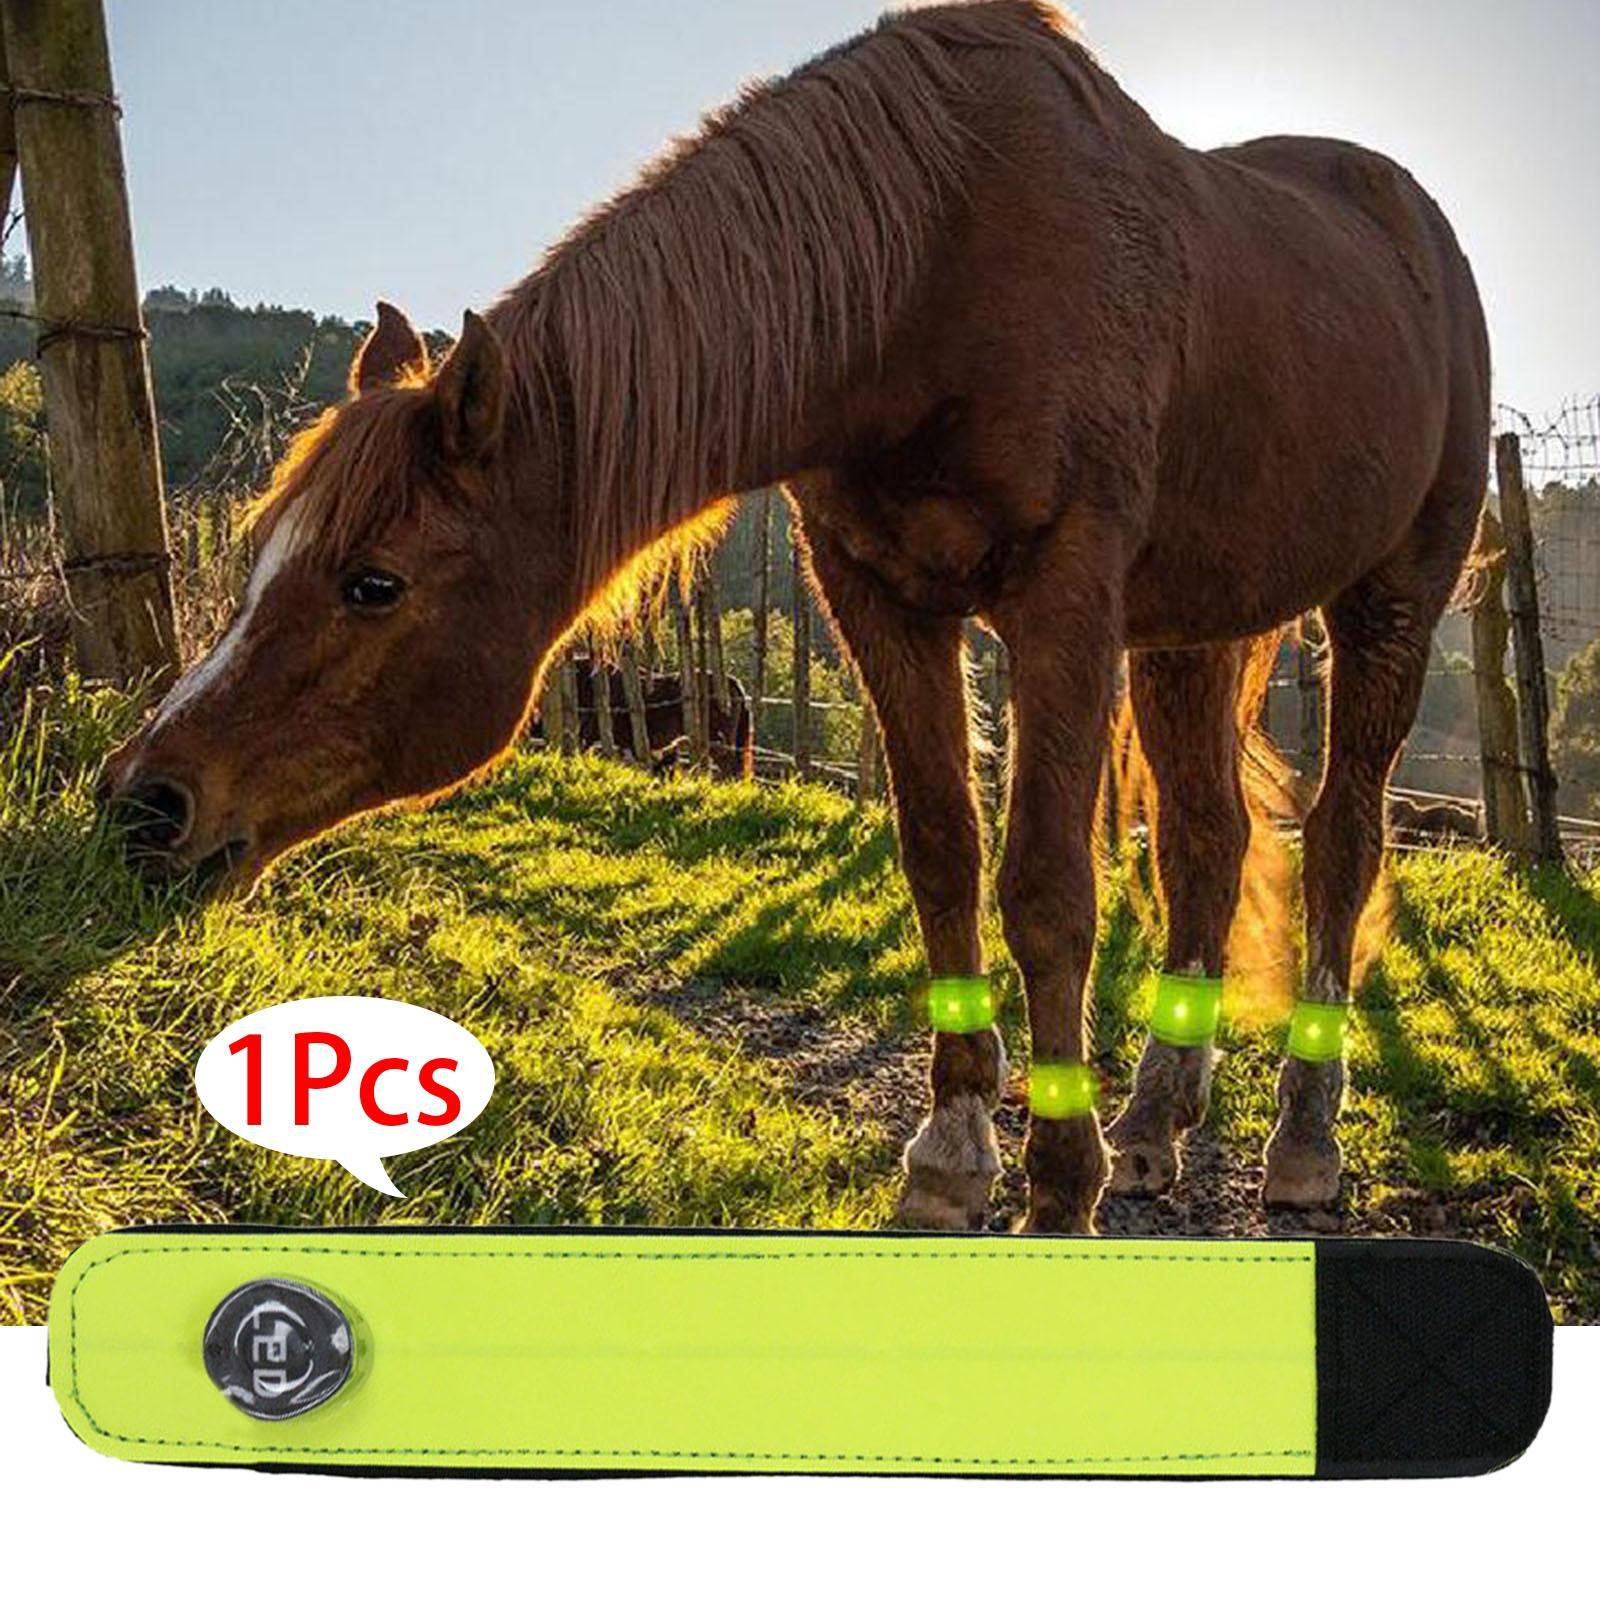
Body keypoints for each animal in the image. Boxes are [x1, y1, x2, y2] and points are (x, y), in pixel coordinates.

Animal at [103, 0, 1491, 1233]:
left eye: (372, 582)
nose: (142, 800)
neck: (932, 266)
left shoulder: (1063, 596)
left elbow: (1047, 885)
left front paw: (1058, 1184)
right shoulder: (878, 595)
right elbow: (941, 853)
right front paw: (954, 1153)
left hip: (1388, 601)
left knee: (1340, 842)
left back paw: (1301, 1142)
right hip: (1196, 629)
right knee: (1206, 840)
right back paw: (1154, 1122)